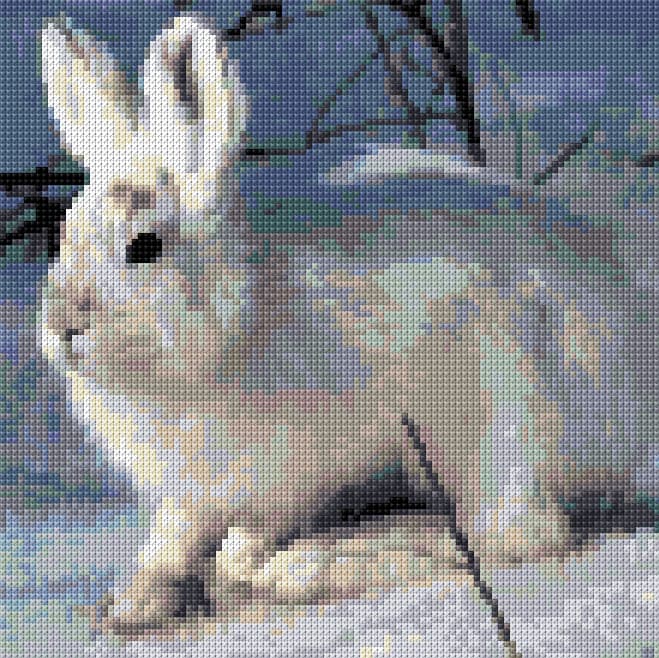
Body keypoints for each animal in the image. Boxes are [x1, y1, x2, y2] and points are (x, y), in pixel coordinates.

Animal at [38, 14, 640, 637]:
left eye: (144, 246)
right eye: (64, 234)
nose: (61, 328)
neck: (244, 309)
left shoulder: (292, 467)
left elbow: (244, 541)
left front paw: (241, 569)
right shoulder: (195, 490)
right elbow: (173, 538)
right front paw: (133, 602)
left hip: (496, 420)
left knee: (511, 532)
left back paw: (321, 561)